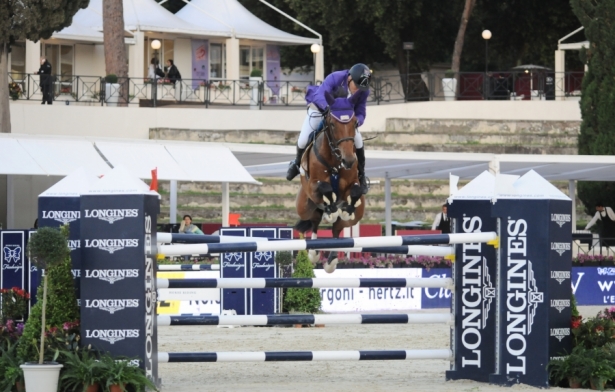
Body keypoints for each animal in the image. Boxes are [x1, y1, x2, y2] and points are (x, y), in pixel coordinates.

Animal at [294, 91, 366, 272]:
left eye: (355, 123)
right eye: (332, 124)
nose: (348, 160)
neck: (335, 161)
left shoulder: (352, 184)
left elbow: (355, 191)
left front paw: (346, 209)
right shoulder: (313, 186)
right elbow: (325, 188)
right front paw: (331, 209)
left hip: (356, 217)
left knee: (337, 229)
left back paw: (332, 259)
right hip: (304, 208)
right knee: (314, 221)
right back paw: (313, 253)